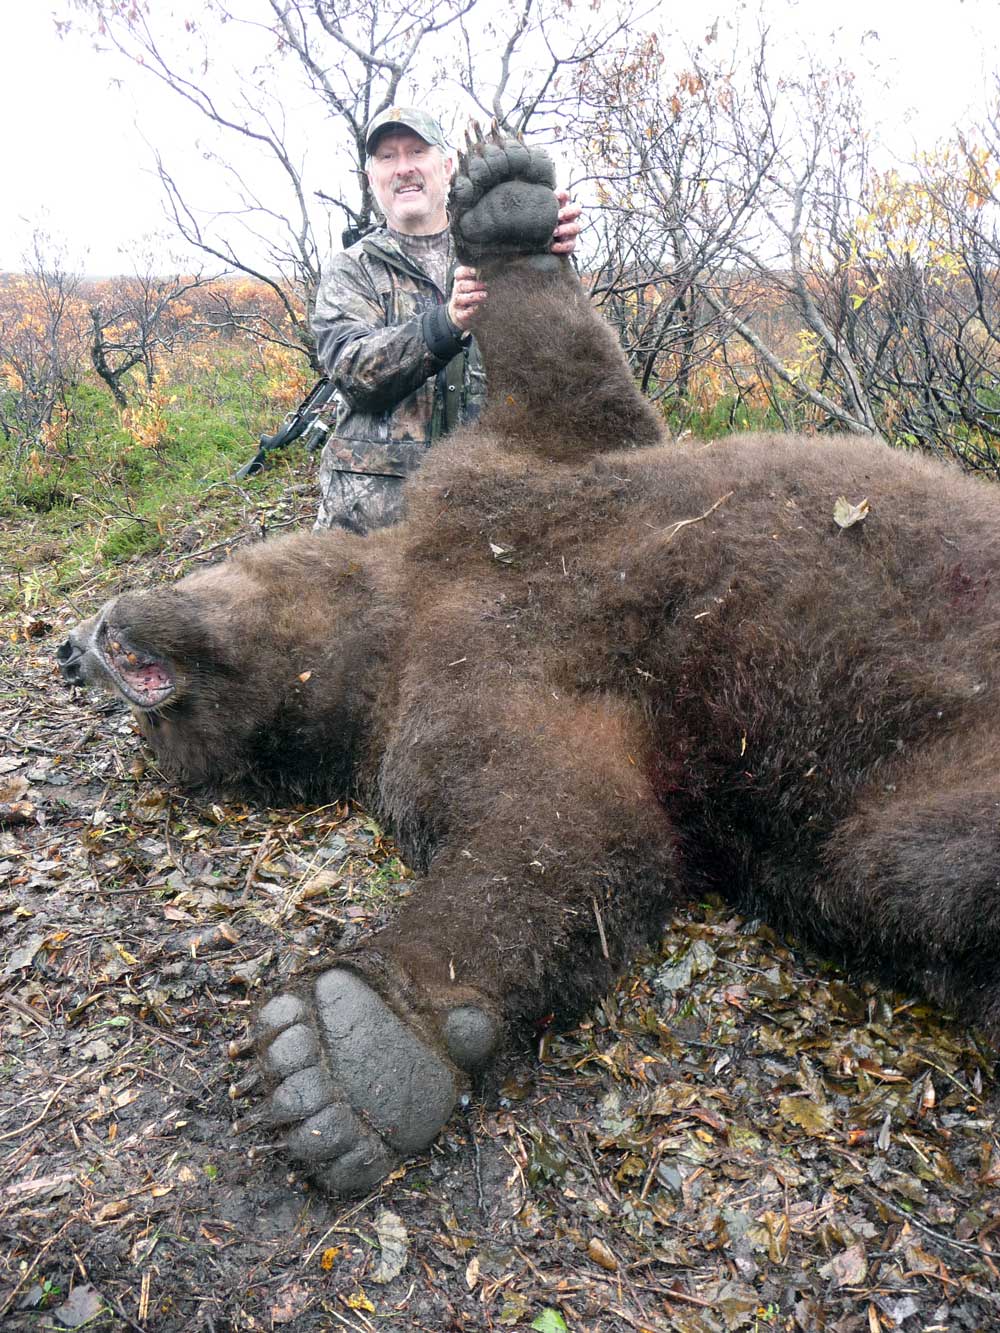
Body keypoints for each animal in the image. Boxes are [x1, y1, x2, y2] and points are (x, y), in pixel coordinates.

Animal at [59, 130, 1000, 1195]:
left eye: (158, 726)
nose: (72, 650)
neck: (396, 604)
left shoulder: (508, 478)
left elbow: (570, 376)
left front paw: (500, 201)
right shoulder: (465, 683)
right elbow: (570, 831)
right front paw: (344, 1059)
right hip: (907, 804)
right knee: (911, 869)